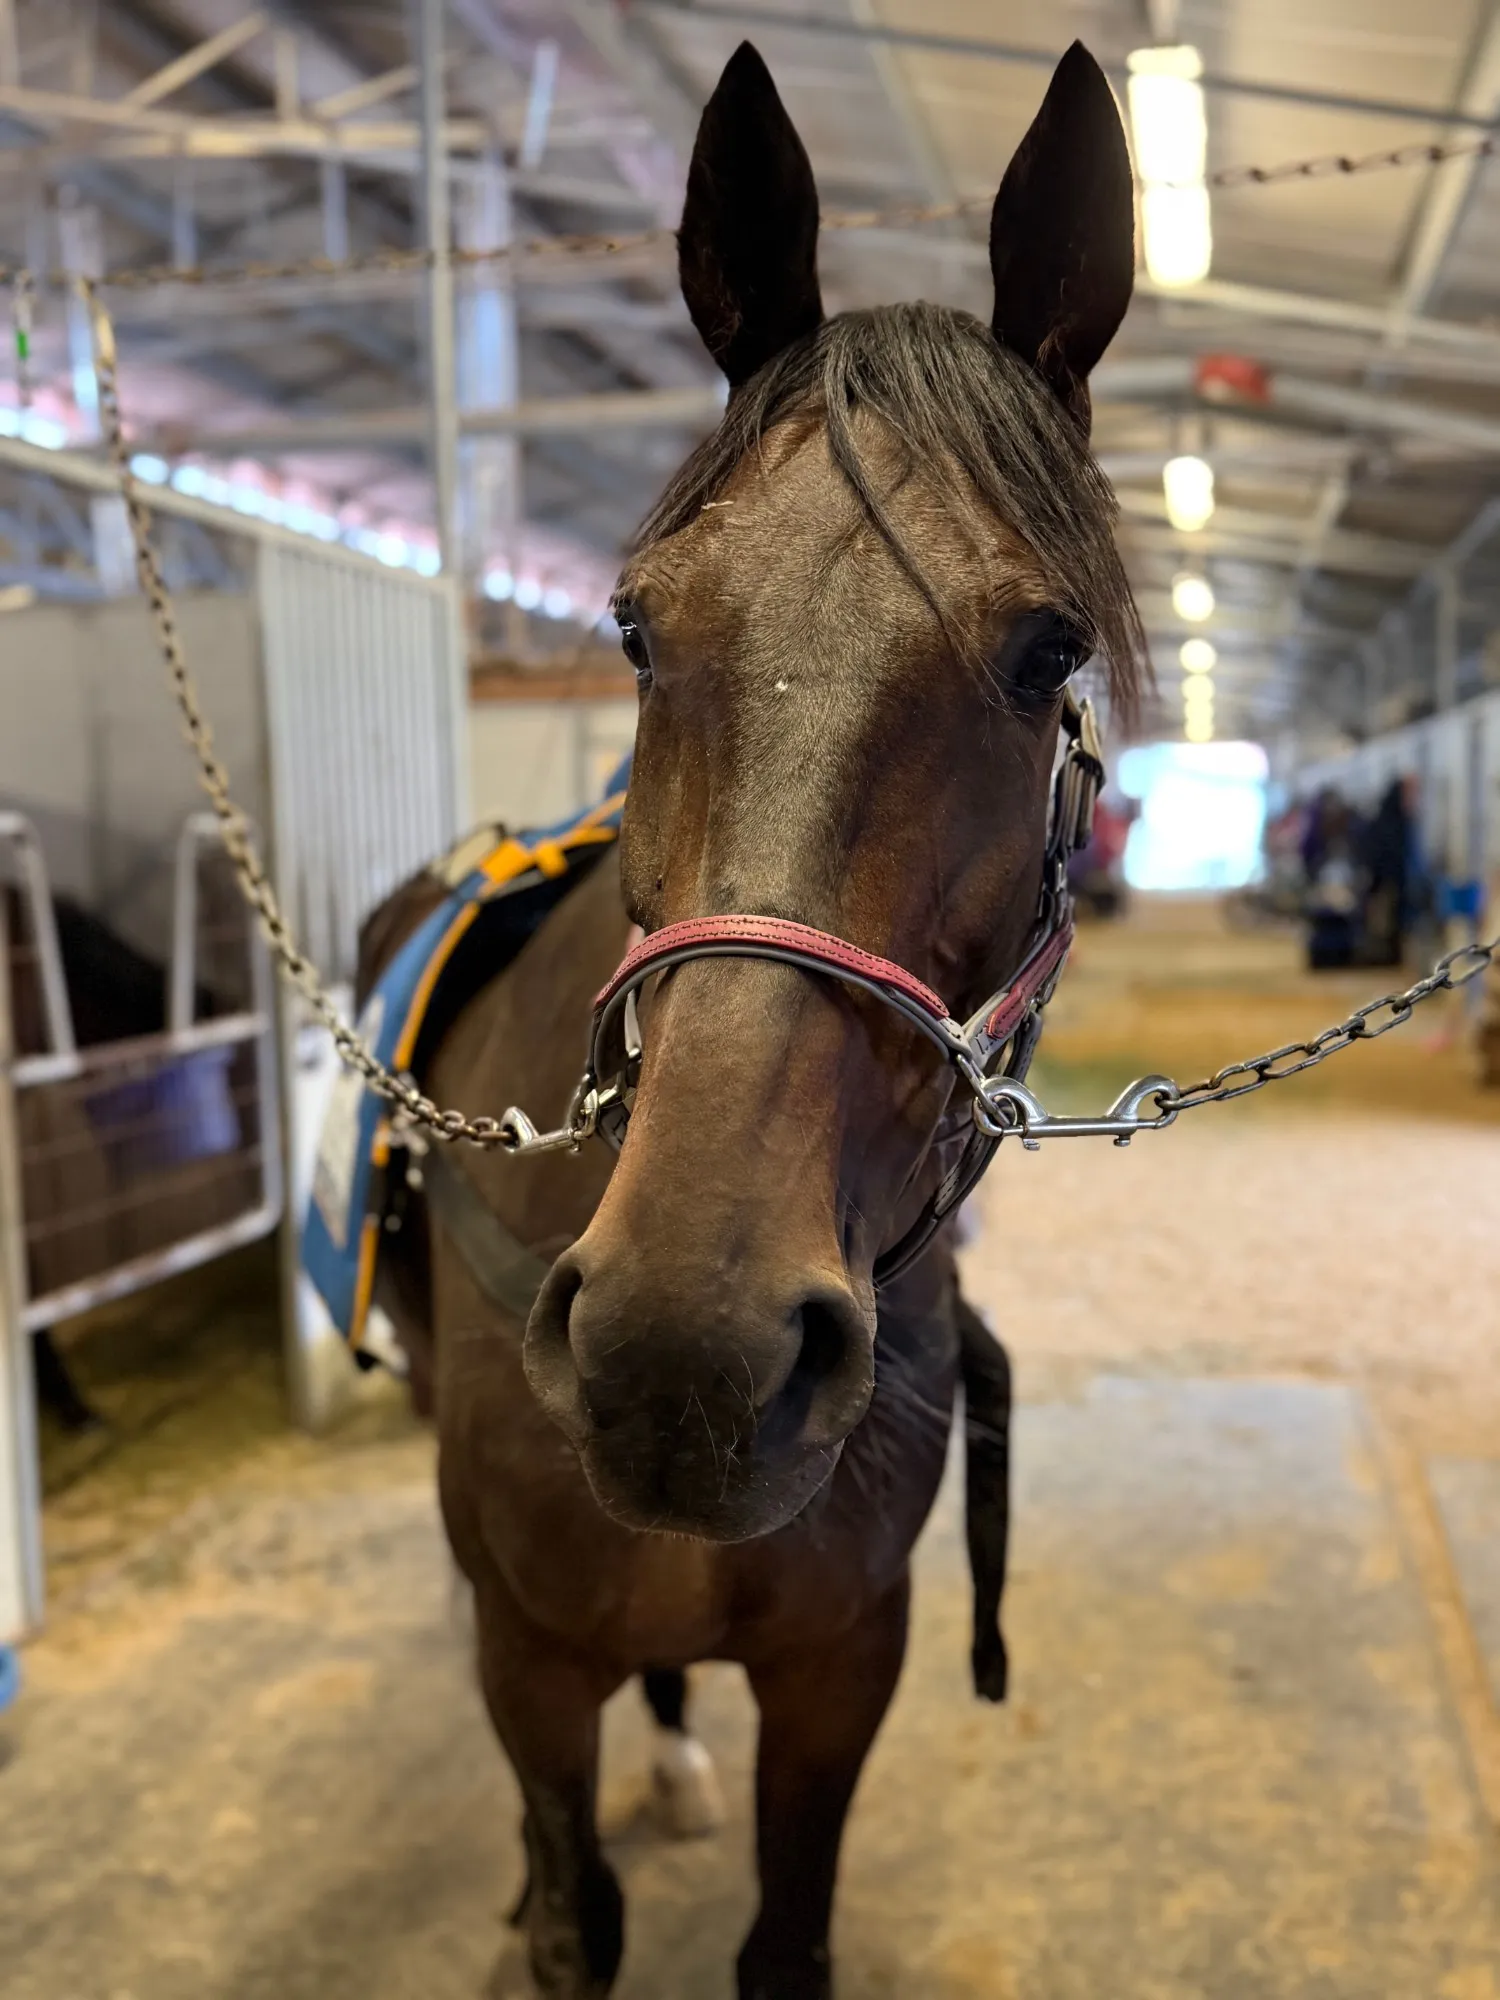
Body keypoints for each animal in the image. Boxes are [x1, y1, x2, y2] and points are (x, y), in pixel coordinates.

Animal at [362, 39, 1142, 1998]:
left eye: (1045, 650)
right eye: (638, 631)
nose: (684, 1354)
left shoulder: (840, 1666)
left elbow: (783, 1940)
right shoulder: (528, 1662)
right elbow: (574, 1910)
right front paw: (537, 1897)